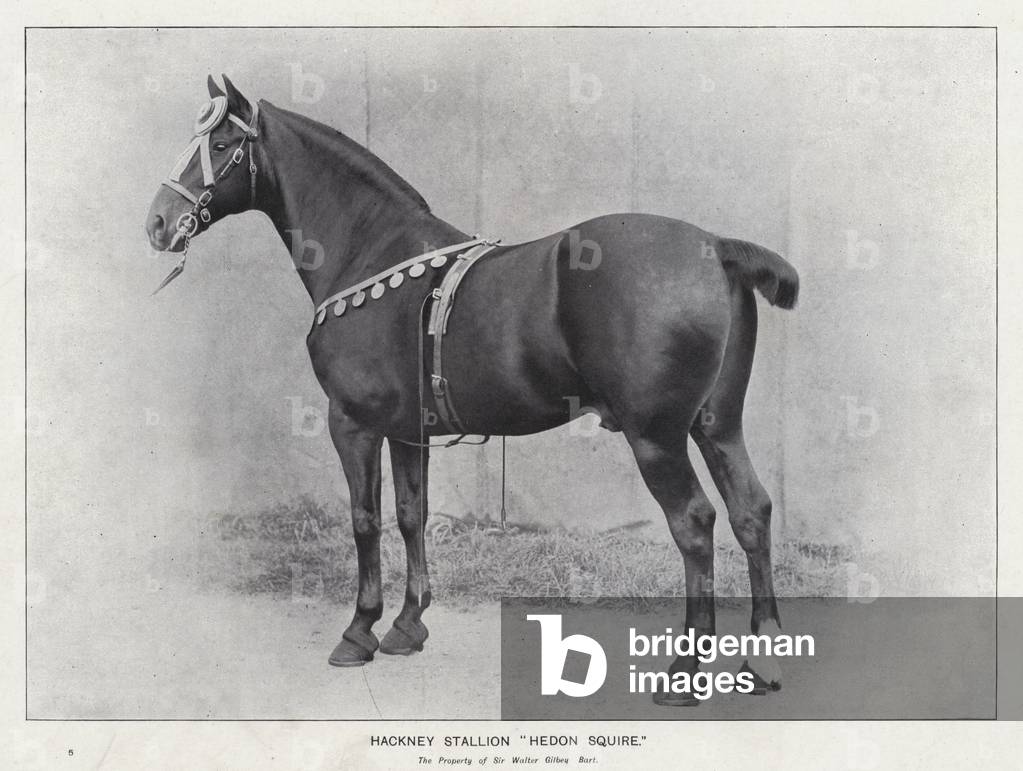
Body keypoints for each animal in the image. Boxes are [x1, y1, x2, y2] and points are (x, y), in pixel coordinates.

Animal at [145, 75, 799, 706]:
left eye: (221, 145)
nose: (157, 222)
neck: (371, 251)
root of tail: (715, 247)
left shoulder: (352, 423)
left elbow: (364, 520)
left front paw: (359, 631)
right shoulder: (407, 432)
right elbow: (411, 515)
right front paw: (407, 626)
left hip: (656, 438)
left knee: (694, 524)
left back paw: (684, 671)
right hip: (717, 425)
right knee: (751, 511)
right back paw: (762, 660)